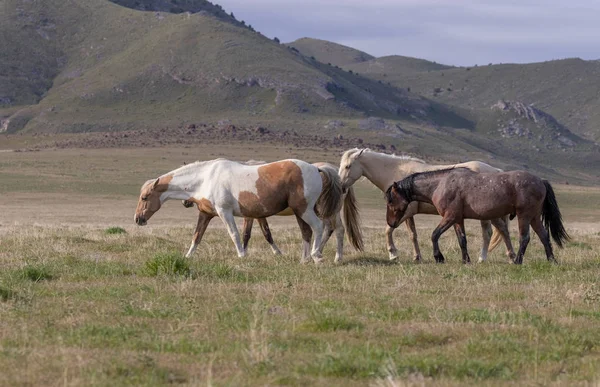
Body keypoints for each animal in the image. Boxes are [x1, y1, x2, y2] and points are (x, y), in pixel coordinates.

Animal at [135, 158, 342, 264]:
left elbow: (235, 234)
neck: (206, 178)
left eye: (144, 197)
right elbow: (197, 236)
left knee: (319, 227)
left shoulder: (225, 212)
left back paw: (317, 256)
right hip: (300, 212)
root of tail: (315, 168)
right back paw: (304, 260)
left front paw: (242, 255)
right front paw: (188, 256)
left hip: (305, 210)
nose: (138, 219)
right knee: (307, 232)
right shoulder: (206, 214)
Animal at [340, 149, 512, 264]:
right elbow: (413, 235)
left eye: (348, 166)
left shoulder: (405, 213)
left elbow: (388, 230)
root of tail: (495, 170)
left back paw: (485, 258)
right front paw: (417, 257)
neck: (396, 173)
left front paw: (393, 254)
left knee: (490, 233)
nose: (341, 186)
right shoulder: (409, 215)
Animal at [386, 168, 568, 266]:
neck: (441, 184)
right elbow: (462, 240)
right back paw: (551, 260)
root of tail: (541, 181)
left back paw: (517, 261)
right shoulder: (458, 219)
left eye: (390, 200)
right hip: (534, 217)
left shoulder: (449, 217)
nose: (391, 223)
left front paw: (439, 257)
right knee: (544, 237)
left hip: (524, 216)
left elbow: (434, 235)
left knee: (525, 238)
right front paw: (465, 260)